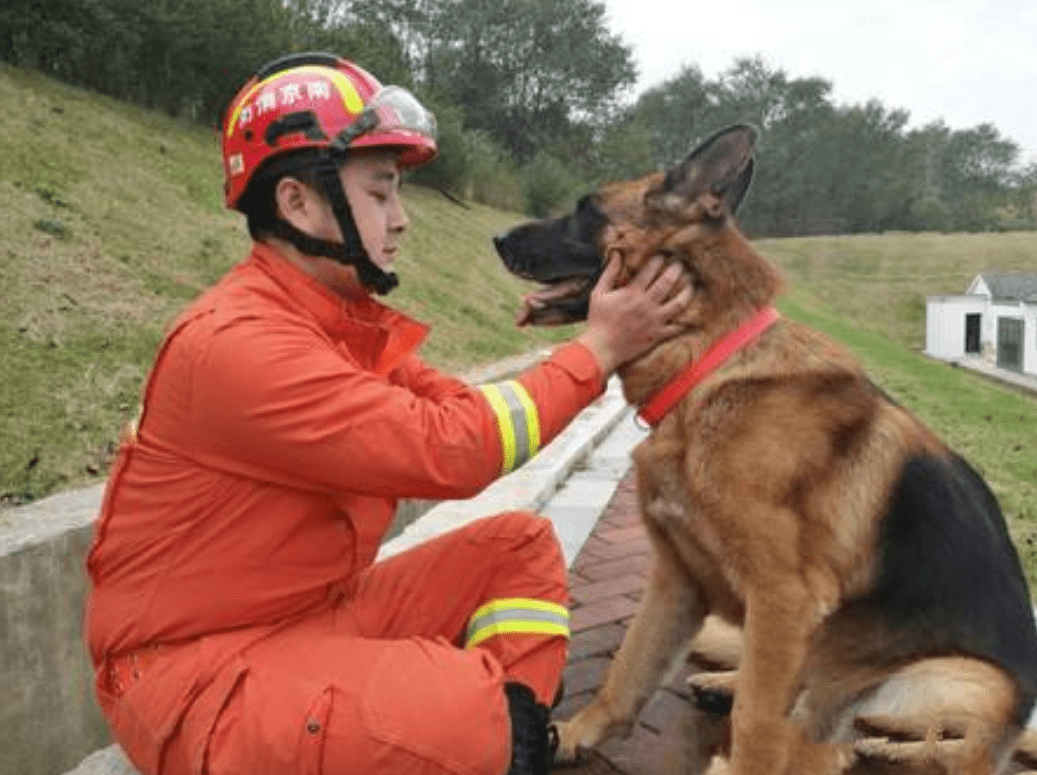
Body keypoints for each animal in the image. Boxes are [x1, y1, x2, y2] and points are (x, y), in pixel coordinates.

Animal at [491, 124, 1037, 771]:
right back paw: (721, 686)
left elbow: (755, 724)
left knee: (879, 741)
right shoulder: (677, 579)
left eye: (586, 210)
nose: (496, 237)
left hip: (939, 680)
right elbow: (628, 668)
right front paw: (575, 735)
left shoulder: (783, 599)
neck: (708, 363)